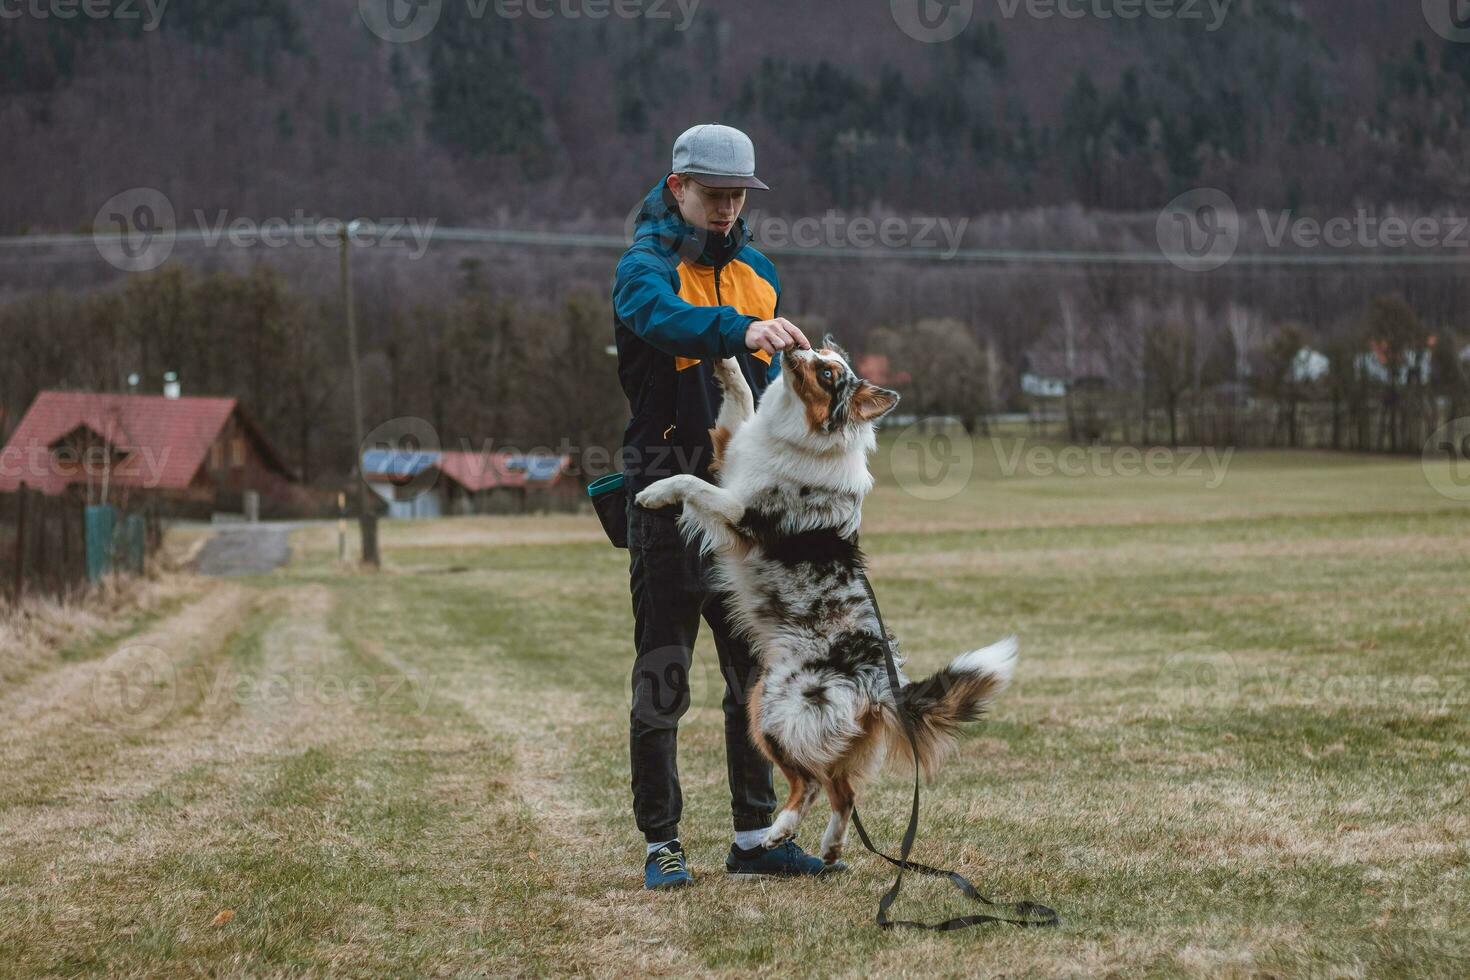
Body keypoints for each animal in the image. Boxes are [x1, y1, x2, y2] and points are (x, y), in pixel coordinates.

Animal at [637, 339, 1017, 863]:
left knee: (813, 784)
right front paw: (728, 359)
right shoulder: (730, 452)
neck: (798, 436)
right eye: (818, 353)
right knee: (845, 792)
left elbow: (691, 483)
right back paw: (831, 847)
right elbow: (740, 399)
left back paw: (780, 831)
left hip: (772, 707)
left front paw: (654, 492)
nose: (793, 346)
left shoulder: (740, 511)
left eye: (828, 373)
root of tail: (880, 681)